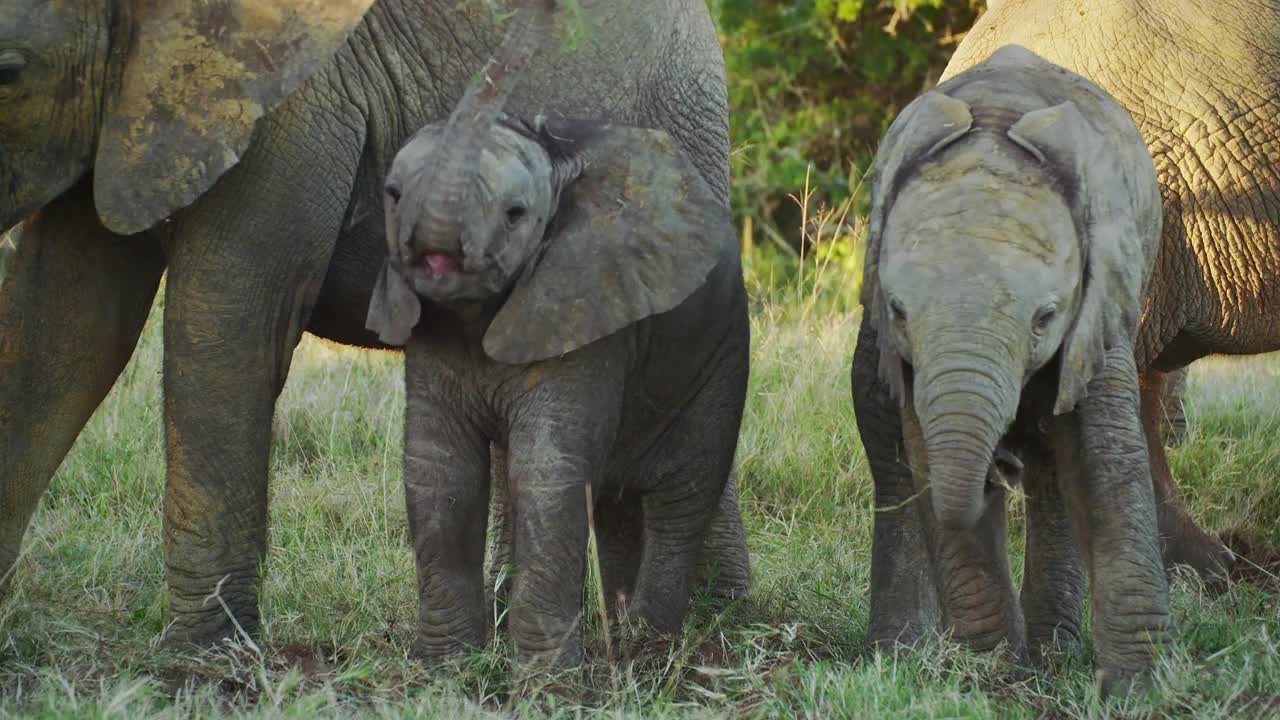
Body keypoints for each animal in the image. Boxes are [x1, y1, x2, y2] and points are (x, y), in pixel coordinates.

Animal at [366, 7, 747, 666]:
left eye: (516, 214)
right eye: (391, 196)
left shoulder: (583, 312)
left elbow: (546, 469)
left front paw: (544, 678)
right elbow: (440, 468)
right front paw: (445, 669)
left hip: (719, 355)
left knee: (678, 500)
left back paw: (648, 650)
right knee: (619, 503)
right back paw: (620, 640)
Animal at [855, 43, 1172, 691]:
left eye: (1044, 317)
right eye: (897, 310)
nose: (1000, 464)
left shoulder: (1100, 306)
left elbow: (1104, 462)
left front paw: (1141, 688)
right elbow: (924, 457)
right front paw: (995, 673)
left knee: (1058, 477)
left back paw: (1054, 651)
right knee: (894, 467)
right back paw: (902, 657)